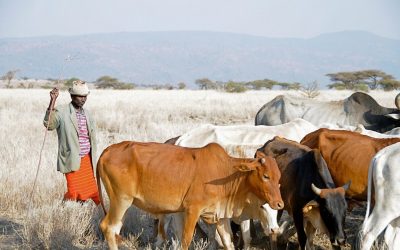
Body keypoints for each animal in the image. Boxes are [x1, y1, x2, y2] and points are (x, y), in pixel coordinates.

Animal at [96, 142, 284, 249]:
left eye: (279, 177)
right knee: (109, 228)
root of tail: (107, 151)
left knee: (116, 229)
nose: (279, 204)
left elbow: (228, 242)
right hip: (121, 200)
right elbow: (185, 241)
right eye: (265, 176)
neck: (225, 172)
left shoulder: (219, 216)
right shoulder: (192, 210)